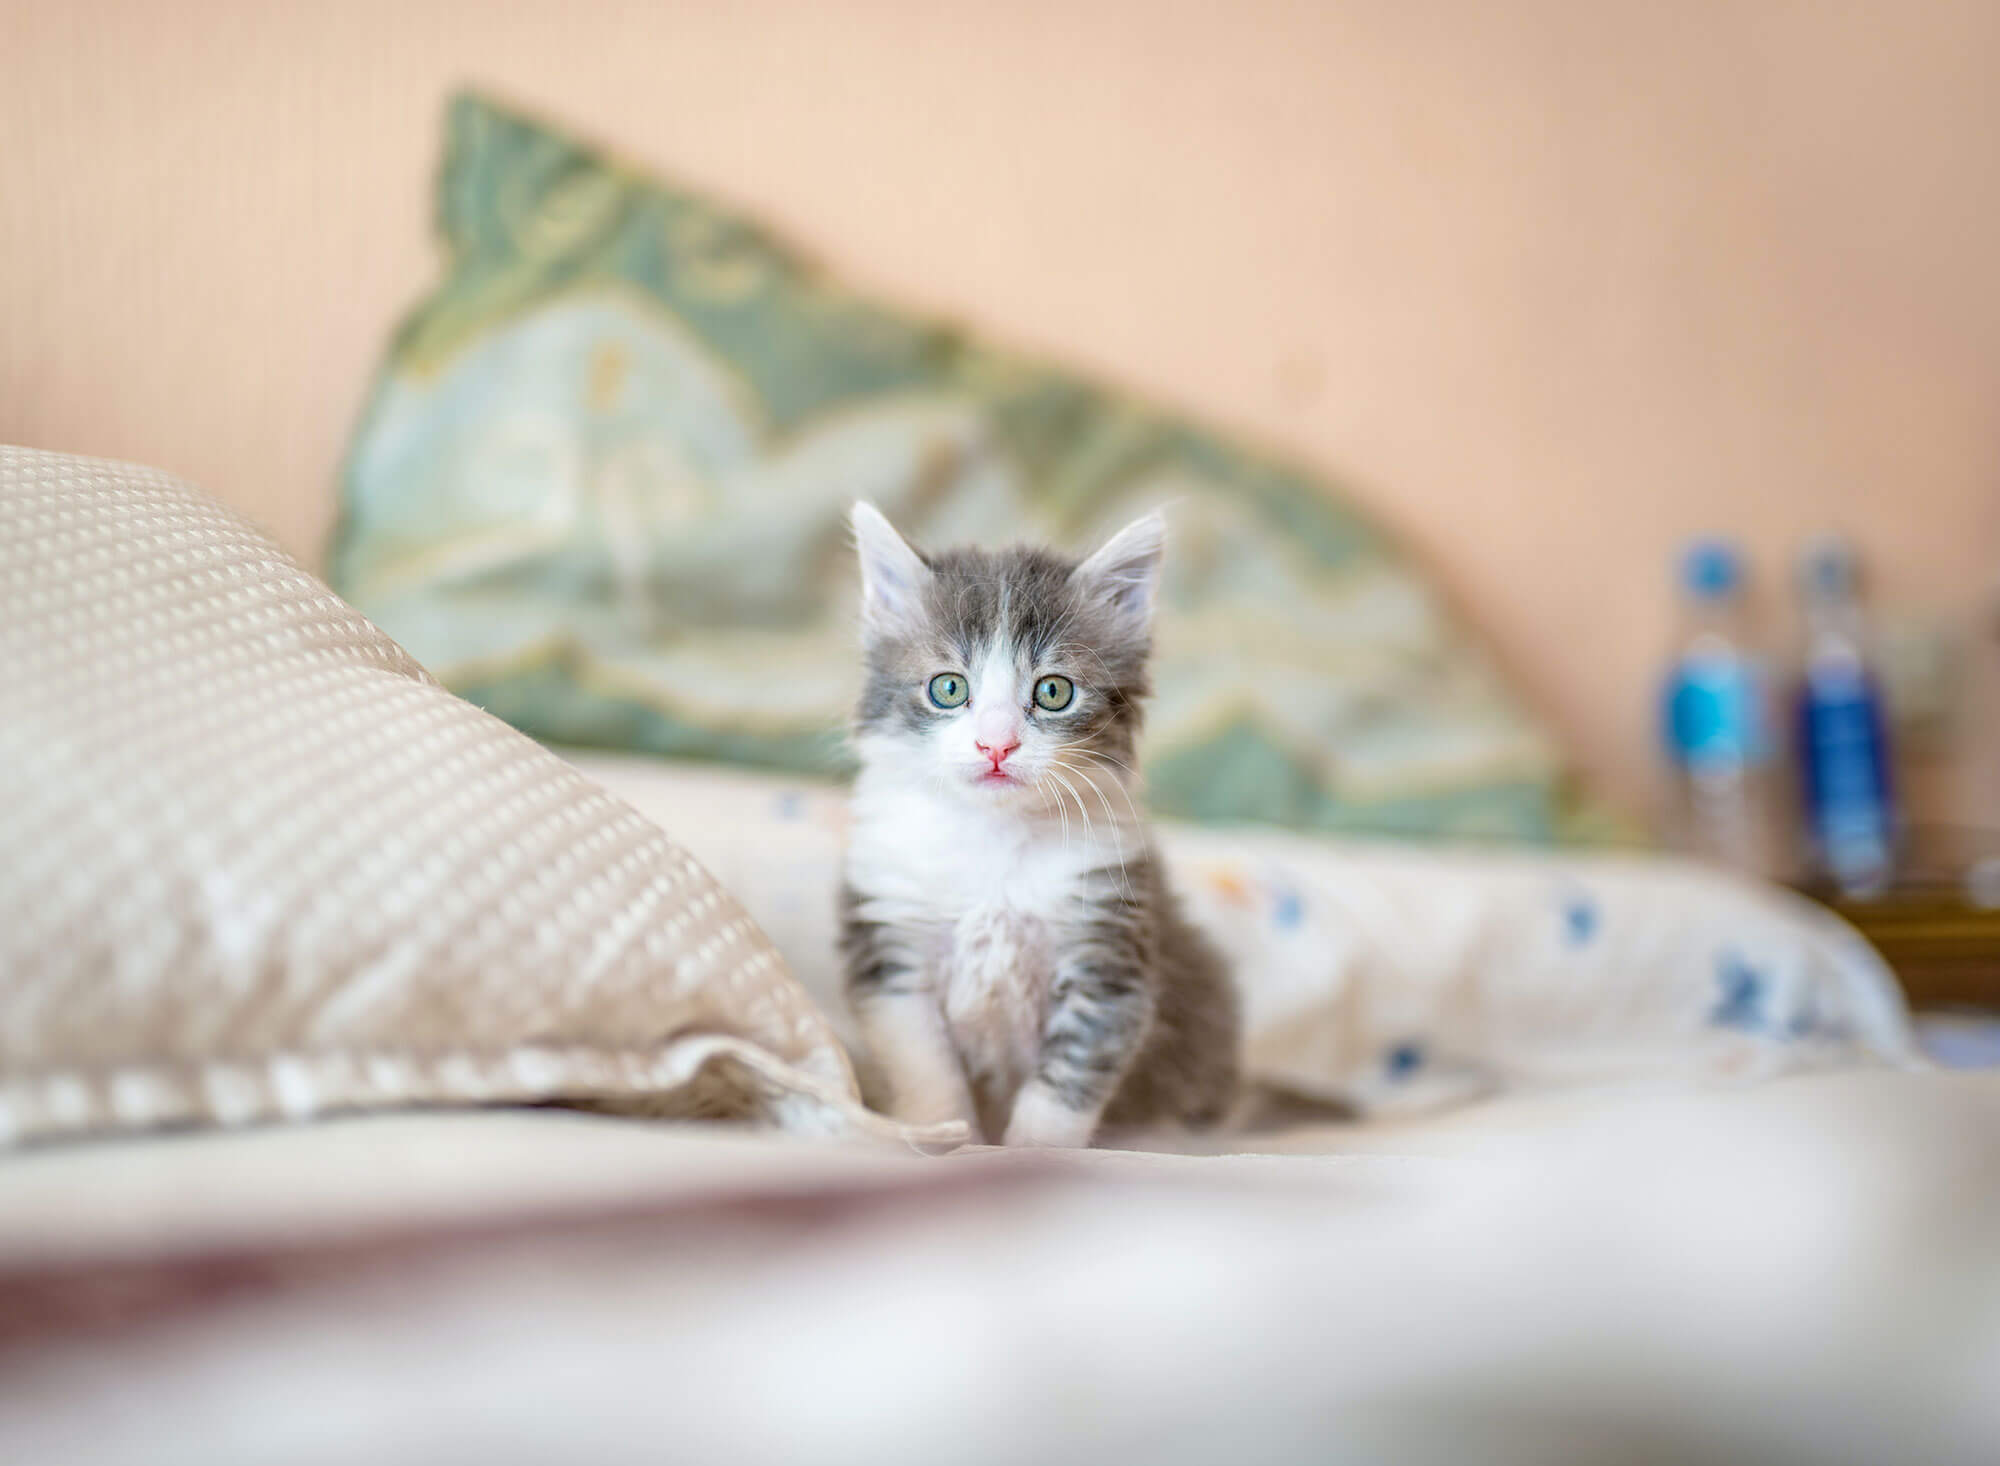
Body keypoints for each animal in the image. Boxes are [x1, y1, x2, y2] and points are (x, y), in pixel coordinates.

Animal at [836, 504, 1240, 1144]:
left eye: (1053, 691)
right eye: (948, 687)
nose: (996, 744)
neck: (994, 841)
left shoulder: (1107, 955)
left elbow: (1064, 1084)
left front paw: (1030, 1150)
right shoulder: (891, 948)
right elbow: (925, 1068)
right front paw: (947, 1136)